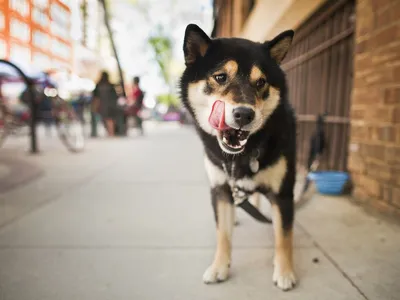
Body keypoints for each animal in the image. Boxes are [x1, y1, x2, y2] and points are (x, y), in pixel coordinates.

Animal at [181, 24, 296, 290]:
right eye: (220, 77)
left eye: (261, 82)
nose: (244, 114)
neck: (241, 156)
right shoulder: (221, 189)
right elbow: (222, 234)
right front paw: (219, 267)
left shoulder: (283, 193)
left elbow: (283, 236)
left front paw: (284, 271)